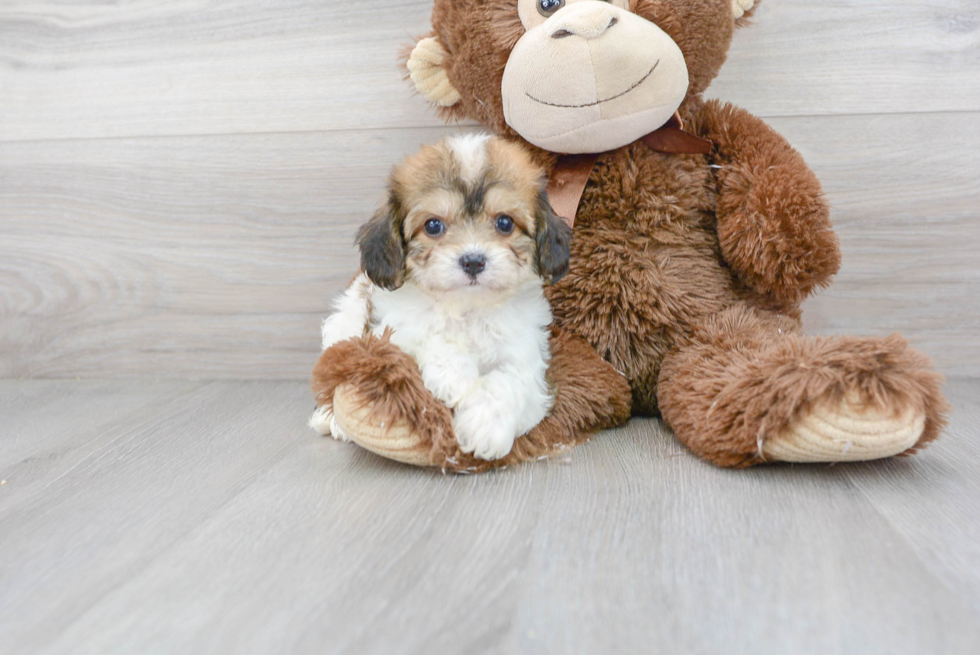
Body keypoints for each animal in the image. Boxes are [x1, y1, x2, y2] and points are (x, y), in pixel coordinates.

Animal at [310, 135, 572, 462]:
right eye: (433, 225)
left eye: (505, 223)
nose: (473, 261)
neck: (467, 307)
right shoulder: (389, 332)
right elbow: (426, 336)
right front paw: (457, 379)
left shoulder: (529, 358)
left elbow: (510, 381)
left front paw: (485, 426)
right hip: (346, 317)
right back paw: (329, 418)